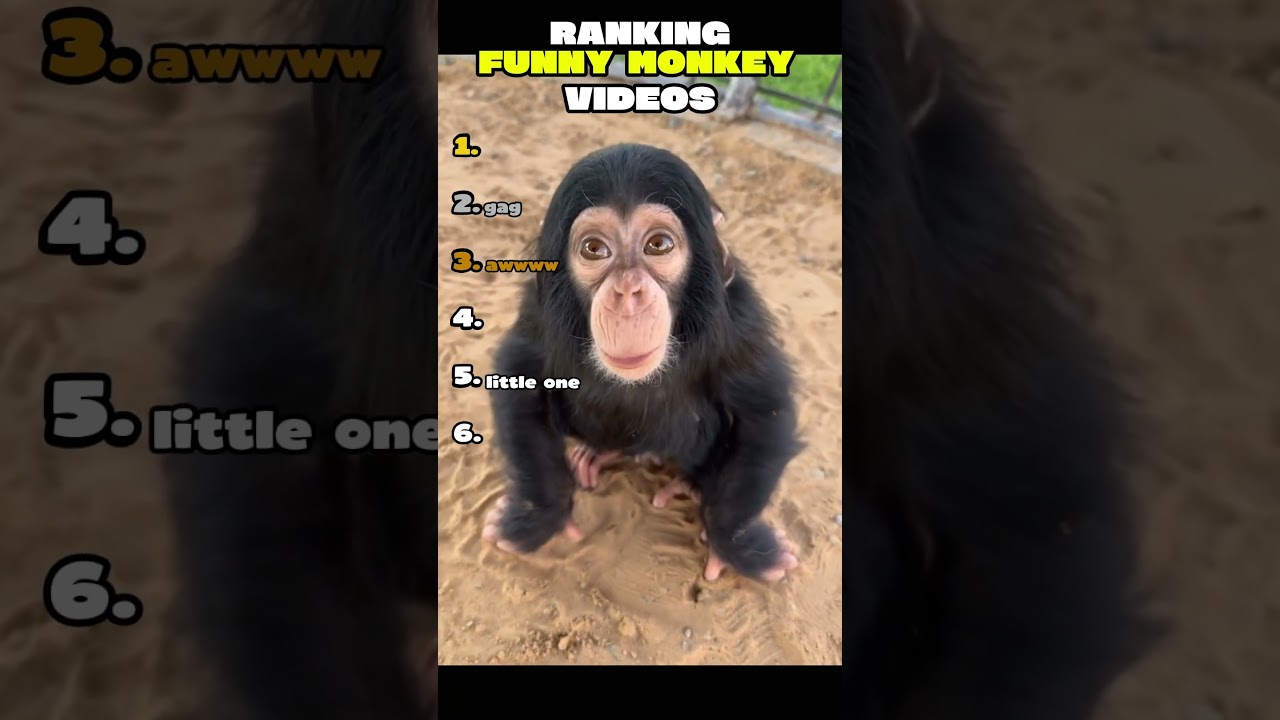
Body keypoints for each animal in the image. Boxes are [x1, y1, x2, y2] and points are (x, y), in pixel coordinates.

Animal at [481, 143, 804, 583]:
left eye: (659, 244)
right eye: (594, 249)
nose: (628, 291)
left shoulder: (739, 317)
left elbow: (762, 412)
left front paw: (740, 545)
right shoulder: (538, 308)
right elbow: (522, 379)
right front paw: (536, 520)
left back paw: (689, 485)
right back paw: (596, 455)